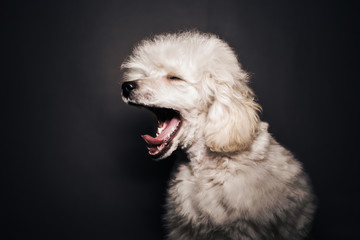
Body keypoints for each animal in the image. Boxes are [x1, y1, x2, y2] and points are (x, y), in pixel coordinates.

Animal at [121, 31, 316, 240]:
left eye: (174, 78)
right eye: (145, 75)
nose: (126, 86)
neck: (204, 169)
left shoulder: (242, 229)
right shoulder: (185, 228)